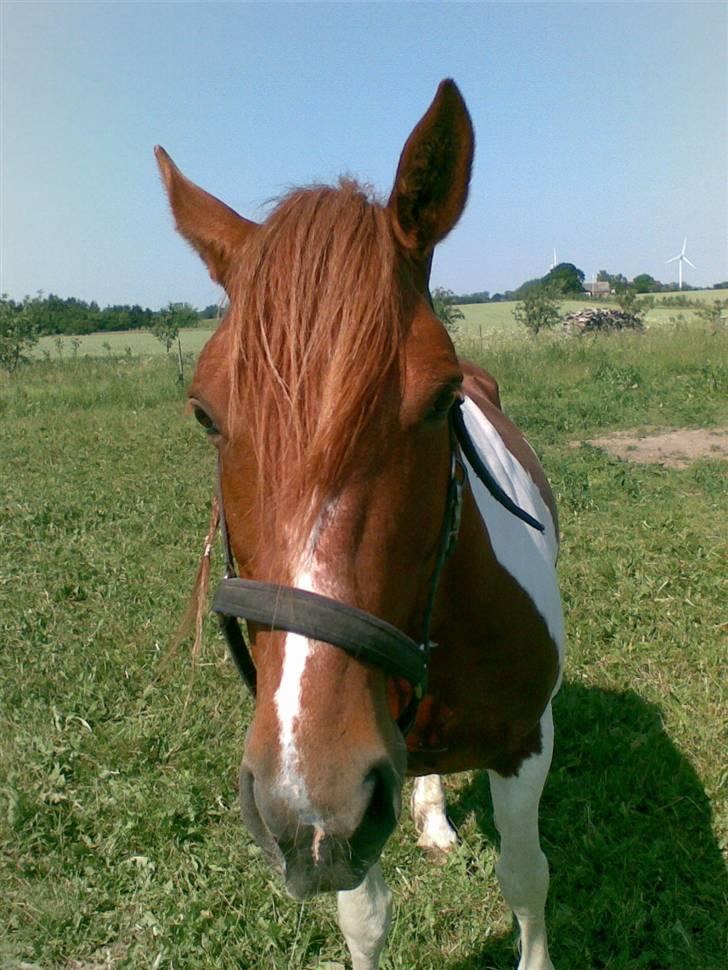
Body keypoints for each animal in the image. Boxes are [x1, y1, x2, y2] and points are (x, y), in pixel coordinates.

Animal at [154, 77, 564, 968]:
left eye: (442, 400)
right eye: (203, 415)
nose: (311, 800)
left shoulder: (525, 743)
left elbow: (526, 880)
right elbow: (364, 919)